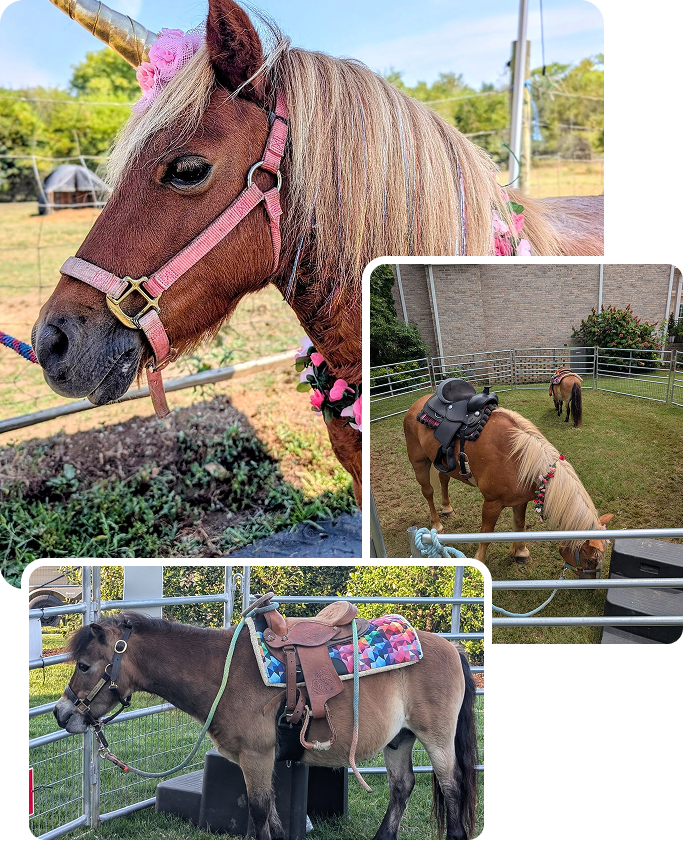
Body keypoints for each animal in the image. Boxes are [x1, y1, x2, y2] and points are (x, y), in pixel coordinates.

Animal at [53, 608, 479, 840]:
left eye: (84, 665)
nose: (61, 713)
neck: (221, 672)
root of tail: (451, 647)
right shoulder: (264, 762)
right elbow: (272, 818)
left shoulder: (256, 757)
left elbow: (258, 814)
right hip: (399, 739)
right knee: (402, 787)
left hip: (437, 740)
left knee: (452, 787)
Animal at [404, 399, 613, 576]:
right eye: (590, 559)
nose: (590, 585)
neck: (519, 459)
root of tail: (418, 404)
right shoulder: (491, 504)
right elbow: (486, 534)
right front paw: (479, 560)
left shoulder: (520, 501)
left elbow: (519, 525)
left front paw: (520, 552)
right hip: (419, 462)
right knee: (428, 492)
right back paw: (437, 523)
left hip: (442, 463)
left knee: (443, 480)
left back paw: (447, 508)